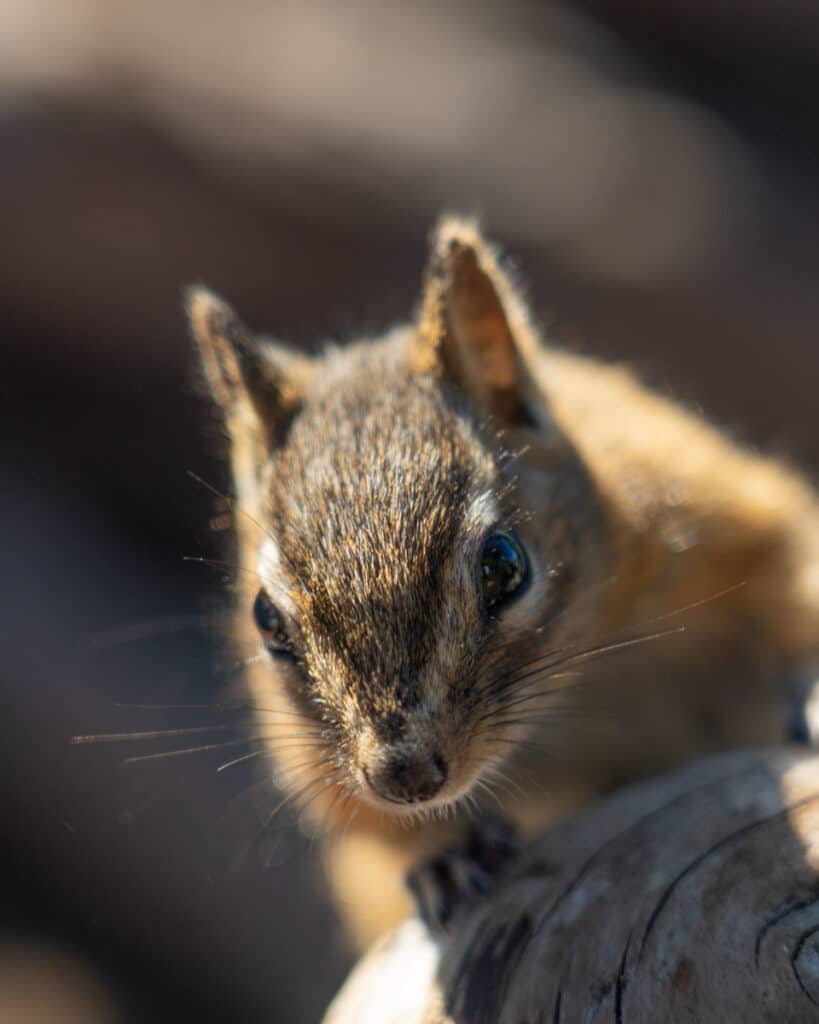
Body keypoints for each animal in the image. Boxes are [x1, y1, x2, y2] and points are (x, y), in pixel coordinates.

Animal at [188, 217, 819, 948]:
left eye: (503, 564)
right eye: (265, 620)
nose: (405, 775)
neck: (568, 702)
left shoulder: (721, 519)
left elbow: (792, 591)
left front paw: (811, 692)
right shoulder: (323, 778)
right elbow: (371, 828)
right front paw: (446, 853)